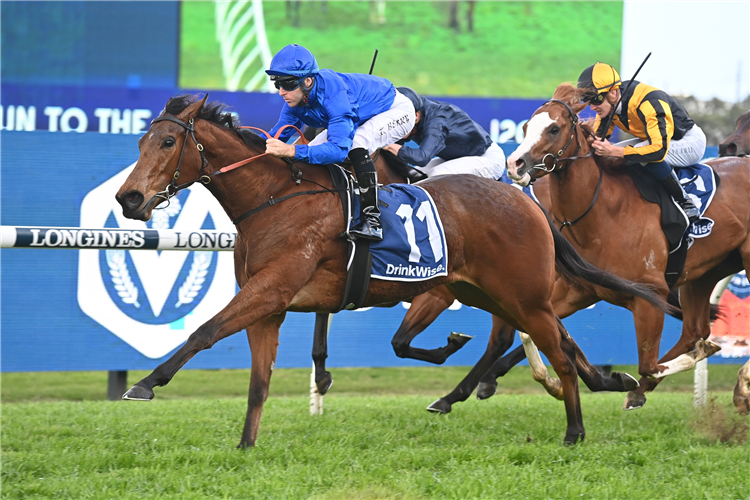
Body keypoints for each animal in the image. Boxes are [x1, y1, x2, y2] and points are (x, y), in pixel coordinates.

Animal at [116, 95, 668, 448]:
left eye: (167, 143)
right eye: (141, 143)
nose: (129, 198)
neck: (274, 197)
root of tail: (526, 200)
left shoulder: (270, 289)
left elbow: (204, 332)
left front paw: (145, 383)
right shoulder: (269, 305)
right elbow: (258, 381)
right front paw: (247, 446)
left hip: (523, 295)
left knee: (555, 349)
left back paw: (575, 429)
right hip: (492, 293)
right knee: (554, 340)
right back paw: (608, 381)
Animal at [502, 83, 750, 410]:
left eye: (554, 128)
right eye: (526, 127)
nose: (514, 164)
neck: (605, 211)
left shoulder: (651, 296)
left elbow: (649, 364)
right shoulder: (582, 288)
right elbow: (527, 332)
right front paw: (554, 383)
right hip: (705, 272)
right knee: (694, 330)